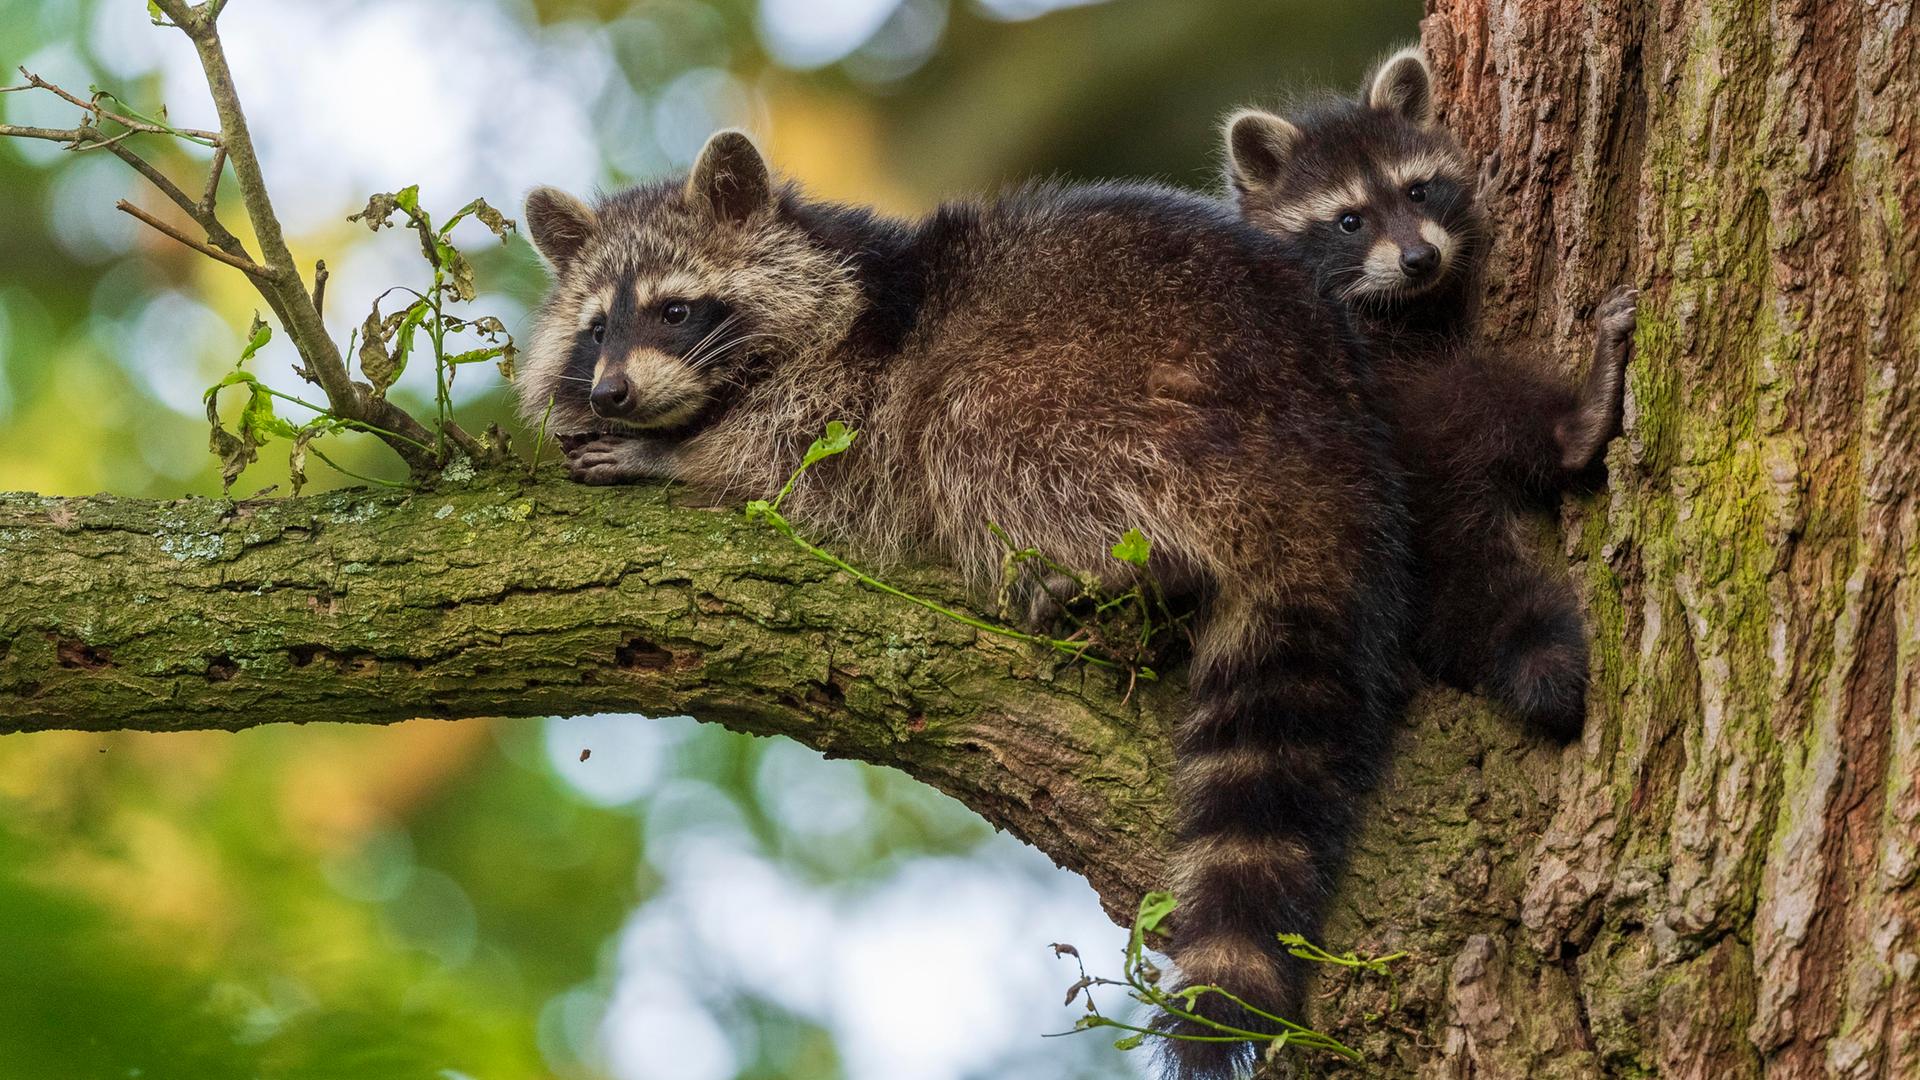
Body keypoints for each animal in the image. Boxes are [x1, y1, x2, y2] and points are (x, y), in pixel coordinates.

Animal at [522, 132, 1413, 1076]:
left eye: (676, 312)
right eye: (595, 329)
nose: (613, 393)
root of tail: (1331, 464)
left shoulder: (855, 383)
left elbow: (792, 463)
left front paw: (675, 459)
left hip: (1134, 396)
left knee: (968, 417)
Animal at [1228, 50, 1635, 737]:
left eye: (1417, 191)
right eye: (1350, 220)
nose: (1420, 257)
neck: (1393, 301)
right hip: (1415, 407)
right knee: (1486, 396)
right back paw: (1578, 420)